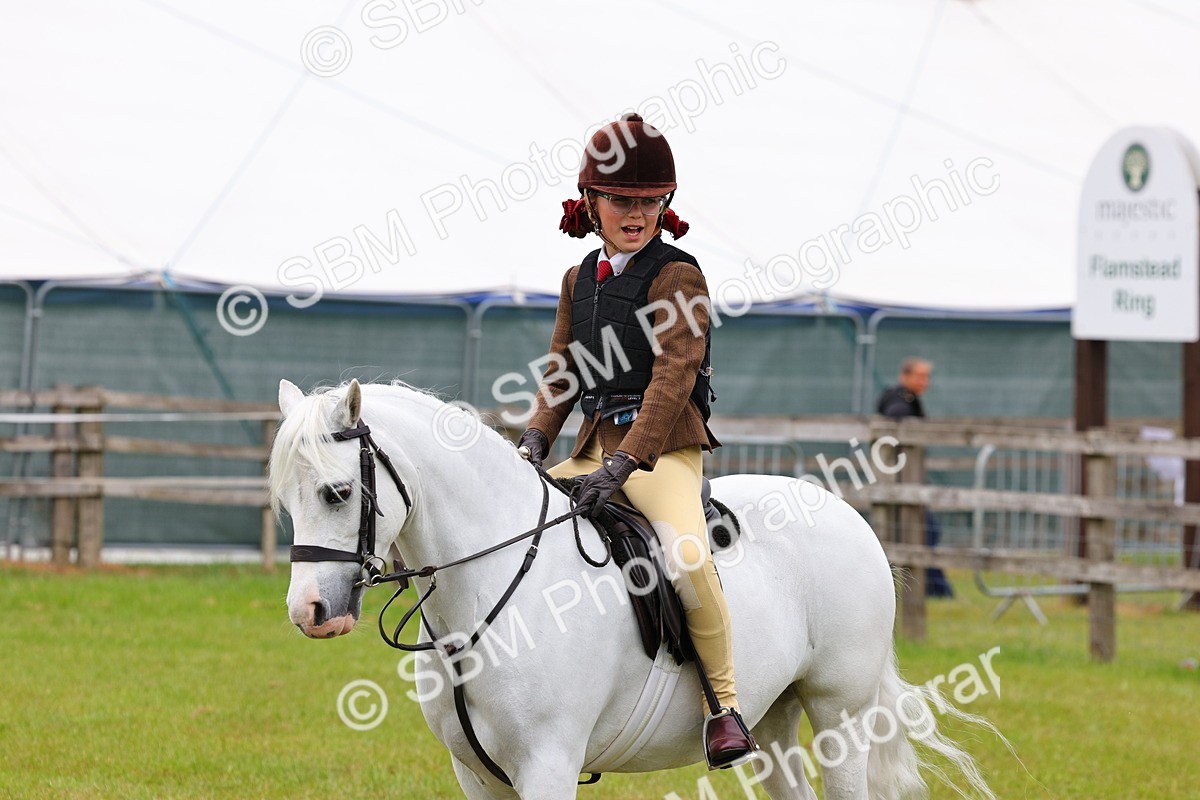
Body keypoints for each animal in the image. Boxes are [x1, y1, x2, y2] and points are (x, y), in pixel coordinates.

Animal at [271, 379, 995, 800]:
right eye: (285, 499)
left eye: (338, 493)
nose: (309, 611)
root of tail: (844, 512)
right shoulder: (475, 775)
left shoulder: (547, 766)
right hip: (776, 717)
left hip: (838, 712)